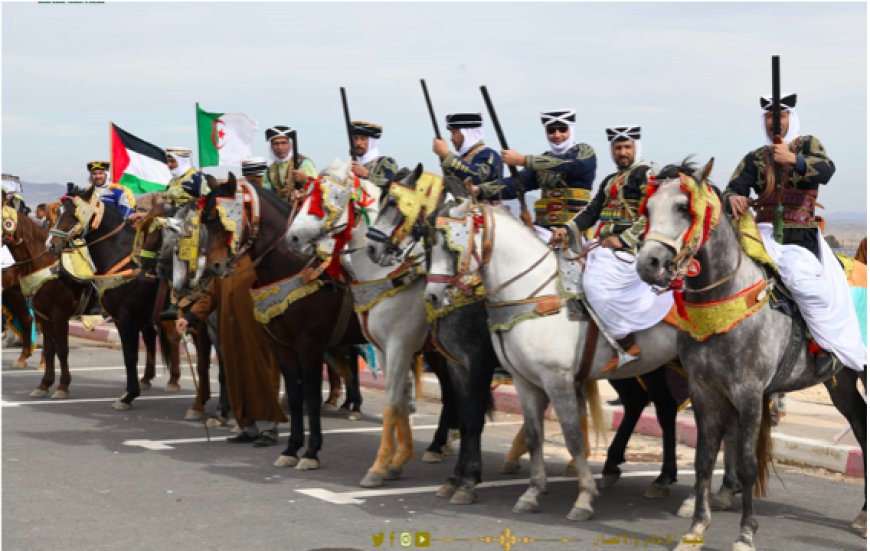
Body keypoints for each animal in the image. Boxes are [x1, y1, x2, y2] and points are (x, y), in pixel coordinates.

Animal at [286, 160, 436, 488]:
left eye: (331, 198)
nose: (292, 239)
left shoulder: (400, 346)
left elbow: (391, 402)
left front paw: (378, 467)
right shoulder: (383, 348)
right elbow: (400, 401)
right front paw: (398, 460)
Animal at [426, 198, 684, 520]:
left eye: (451, 245)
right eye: (430, 242)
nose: (433, 296)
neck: (531, 295)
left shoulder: (553, 379)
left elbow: (572, 435)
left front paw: (584, 498)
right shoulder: (523, 381)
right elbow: (534, 435)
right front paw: (532, 493)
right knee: (663, 408)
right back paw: (660, 479)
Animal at [636, 158, 868, 548]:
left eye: (684, 208)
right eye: (649, 208)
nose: (647, 263)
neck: (724, 300)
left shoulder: (748, 393)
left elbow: (745, 464)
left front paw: (745, 532)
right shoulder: (705, 390)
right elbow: (703, 459)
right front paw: (696, 528)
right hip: (842, 382)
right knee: (861, 425)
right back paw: (863, 515)